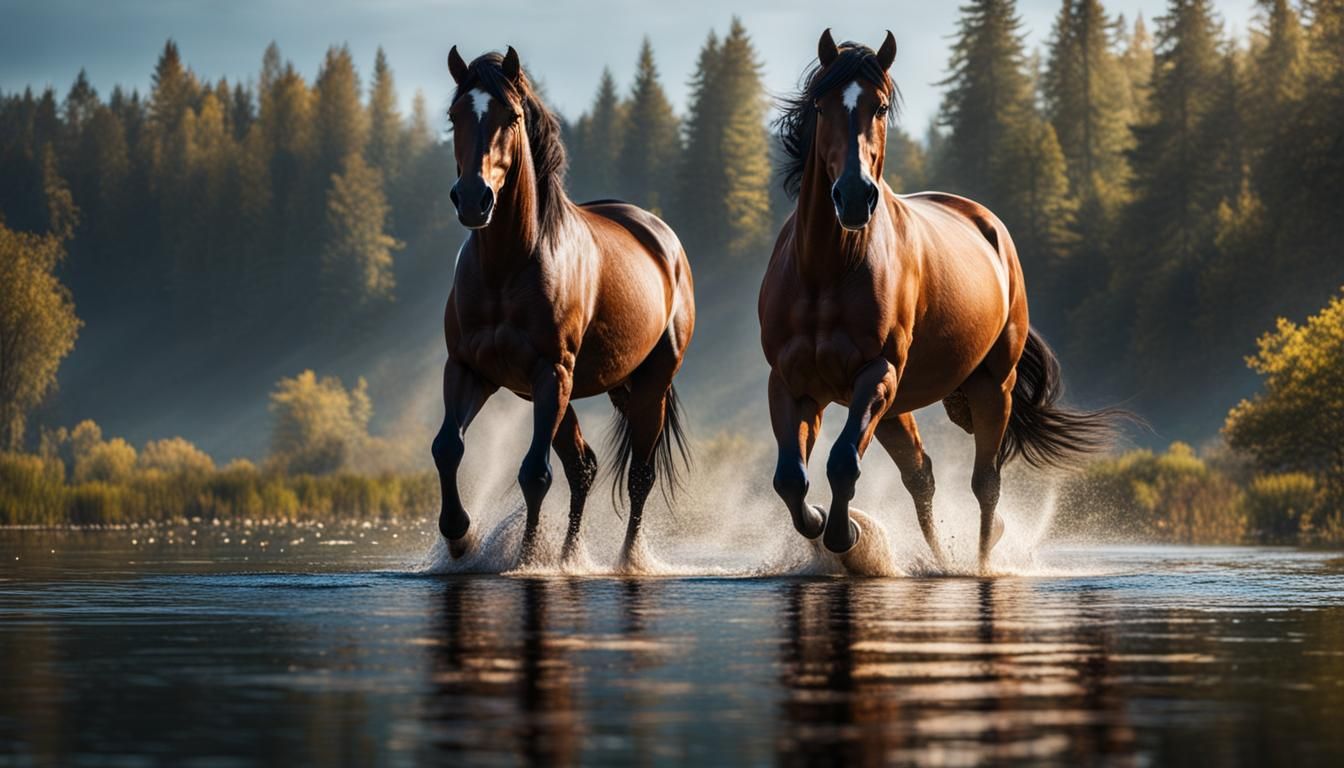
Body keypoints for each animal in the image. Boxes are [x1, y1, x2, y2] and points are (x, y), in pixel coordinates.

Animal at [434, 46, 695, 571]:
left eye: (511, 116)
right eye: (455, 116)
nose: (473, 199)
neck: (507, 266)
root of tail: (664, 240)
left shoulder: (550, 371)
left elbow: (535, 473)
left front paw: (529, 557)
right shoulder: (470, 369)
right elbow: (448, 447)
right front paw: (458, 537)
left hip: (648, 385)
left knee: (638, 475)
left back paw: (626, 560)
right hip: (586, 388)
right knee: (583, 467)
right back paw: (572, 555)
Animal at [759, 30, 1119, 572]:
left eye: (880, 106)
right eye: (821, 106)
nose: (854, 196)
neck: (826, 271)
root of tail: (991, 226)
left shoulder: (877, 372)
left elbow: (842, 463)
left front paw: (846, 535)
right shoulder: (792, 383)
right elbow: (791, 479)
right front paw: (823, 523)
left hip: (988, 386)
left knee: (985, 484)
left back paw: (980, 559)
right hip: (896, 404)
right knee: (921, 475)